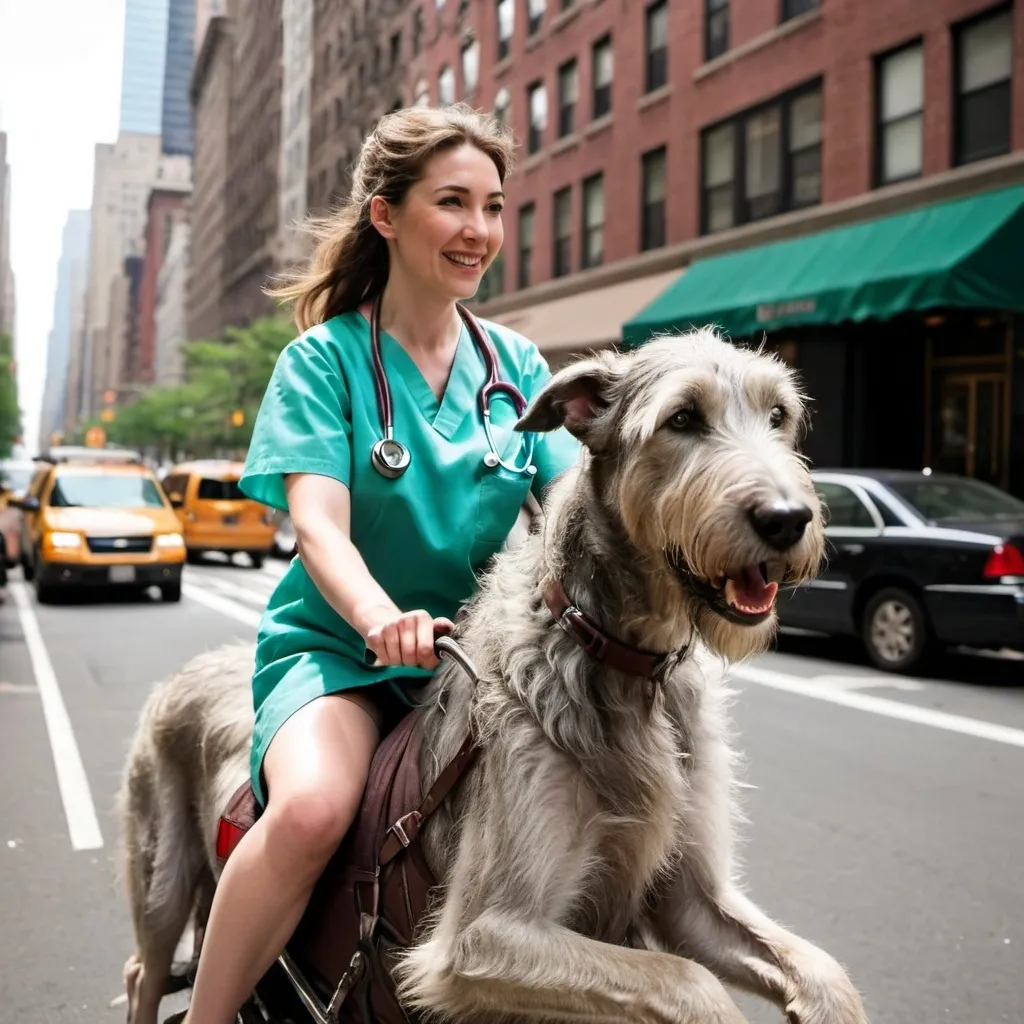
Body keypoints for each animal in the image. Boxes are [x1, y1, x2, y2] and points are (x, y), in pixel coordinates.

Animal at [121, 329, 872, 1024]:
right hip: (164, 877)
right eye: (683, 418)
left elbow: (820, 970)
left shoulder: (690, 902)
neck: (614, 660)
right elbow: (690, 983)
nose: (788, 519)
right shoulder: (480, 941)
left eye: (779, 415)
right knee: (146, 968)